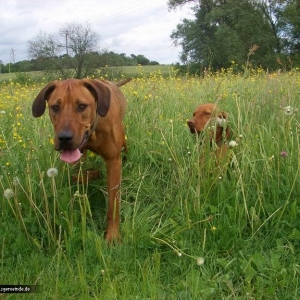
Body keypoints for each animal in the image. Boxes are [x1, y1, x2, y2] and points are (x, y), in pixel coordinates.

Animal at [31, 78, 130, 244]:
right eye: (55, 107)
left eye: (82, 106)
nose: (64, 138)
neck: (93, 131)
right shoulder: (77, 158)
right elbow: (76, 176)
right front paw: (94, 173)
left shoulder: (114, 161)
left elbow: (113, 204)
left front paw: (113, 235)